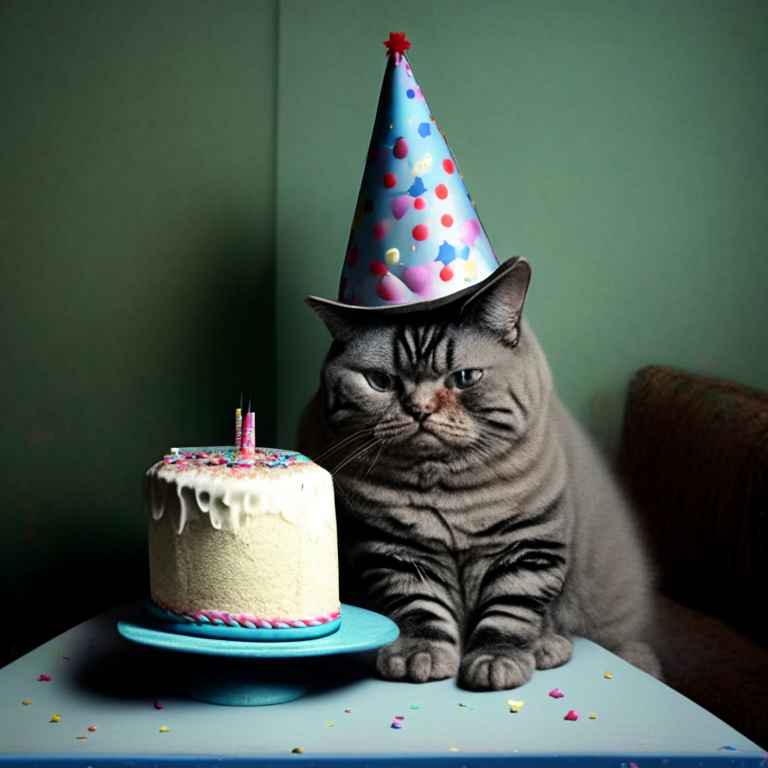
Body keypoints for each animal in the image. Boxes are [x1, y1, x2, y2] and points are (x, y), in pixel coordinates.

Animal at [296, 256, 664, 688]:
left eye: (465, 378)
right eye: (381, 381)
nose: (420, 409)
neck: (447, 491)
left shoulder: (528, 547)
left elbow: (510, 612)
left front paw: (496, 662)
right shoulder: (394, 551)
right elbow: (421, 607)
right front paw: (419, 654)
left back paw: (548, 647)